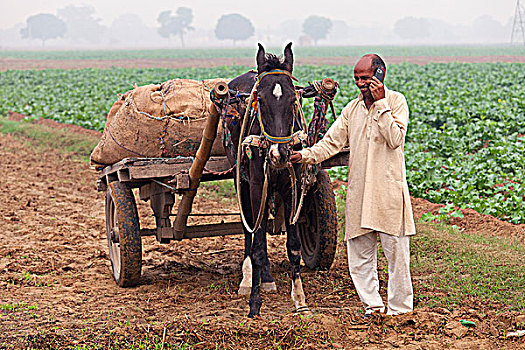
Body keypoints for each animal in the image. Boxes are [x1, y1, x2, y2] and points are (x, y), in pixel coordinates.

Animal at [218, 43, 310, 318]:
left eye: (293, 99)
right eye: (261, 99)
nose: (279, 155)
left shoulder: (292, 187)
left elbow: (293, 246)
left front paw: (300, 301)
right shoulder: (257, 187)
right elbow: (257, 242)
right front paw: (254, 304)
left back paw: (266, 278)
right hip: (242, 181)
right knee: (249, 228)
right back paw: (250, 278)